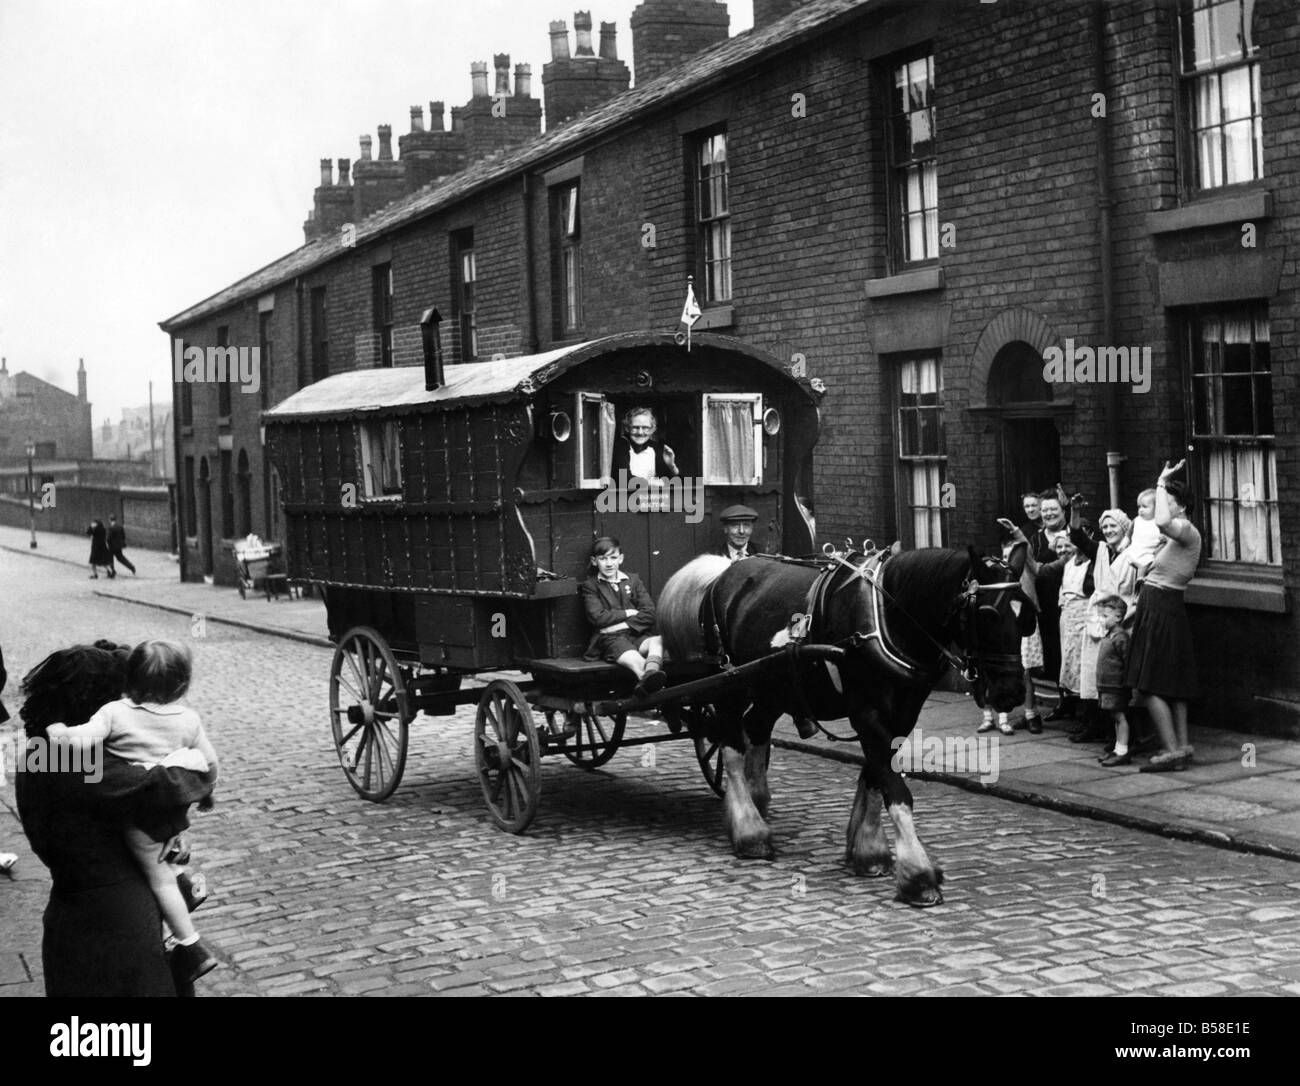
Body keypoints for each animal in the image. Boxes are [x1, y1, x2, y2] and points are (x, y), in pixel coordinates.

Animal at [660, 543, 1034, 910]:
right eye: (988, 614)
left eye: (1028, 615)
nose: (1012, 692)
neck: (889, 617)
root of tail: (723, 573)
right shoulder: (867, 712)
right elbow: (895, 788)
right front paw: (918, 875)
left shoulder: (902, 715)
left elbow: (876, 776)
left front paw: (869, 851)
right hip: (729, 686)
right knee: (731, 747)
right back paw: (749, 830)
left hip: (771, 687)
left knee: (755, 731)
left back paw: (757, 803)